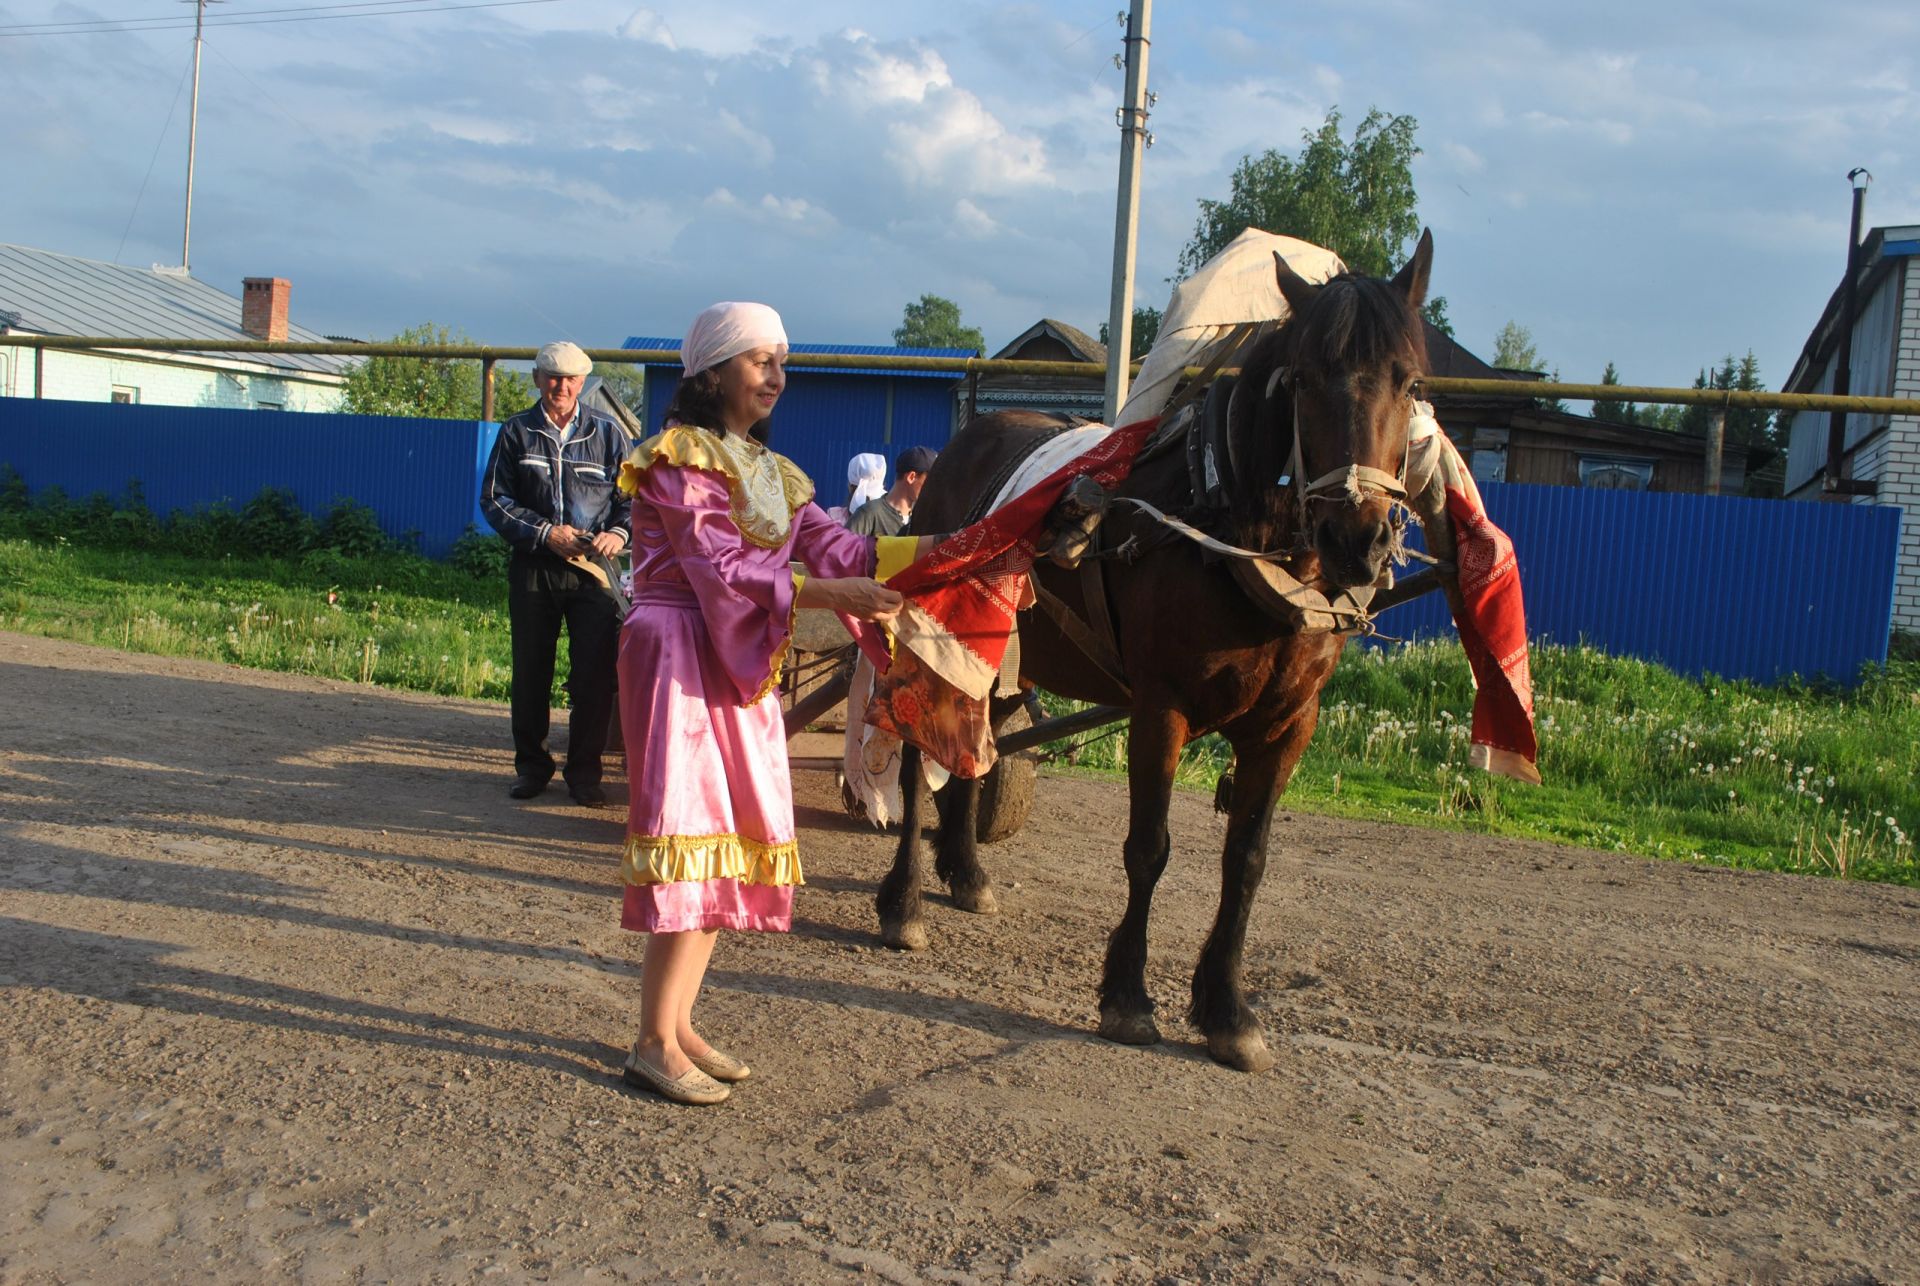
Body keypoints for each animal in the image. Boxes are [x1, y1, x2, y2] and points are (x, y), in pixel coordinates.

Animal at [879, 229, 1436, 1067]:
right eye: (1305, 379)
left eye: (1411, 381)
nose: (1358, 539)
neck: (1230, 527)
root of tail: (966, 441)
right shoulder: (1161, 706)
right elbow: (1150, 846)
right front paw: (1127, 996)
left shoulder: (1289, 723)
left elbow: (1247, 861)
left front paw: (1228, 1009)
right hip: (940, 640)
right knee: (919, 763)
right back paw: (905, 900)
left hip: (1009, 659)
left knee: (980, 747)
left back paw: (966, 870)